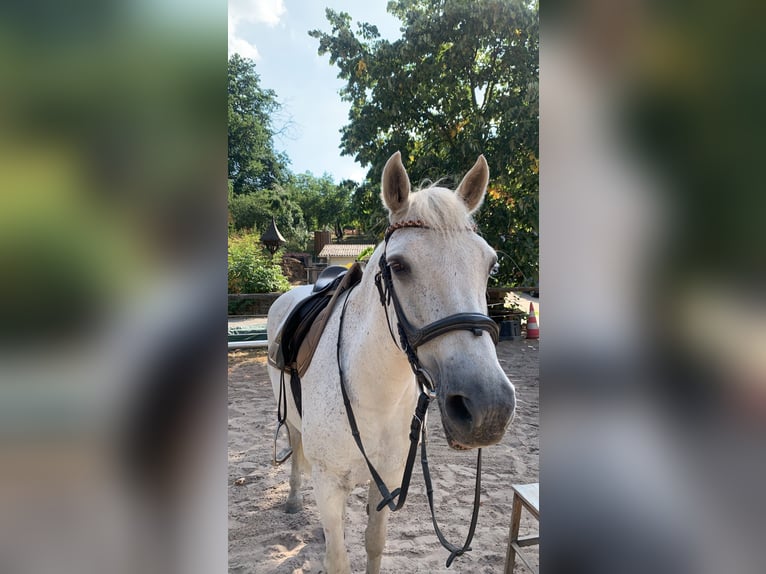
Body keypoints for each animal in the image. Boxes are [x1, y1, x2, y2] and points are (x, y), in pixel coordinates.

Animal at [268, 153, 516, 574]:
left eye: (490, 265)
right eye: (399, 266)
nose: (489, 407)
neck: (374, 393)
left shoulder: (385, 476)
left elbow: (374, 543)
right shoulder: (328, 482)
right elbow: (338, 560)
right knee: (296, 447)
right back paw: (294, 500)